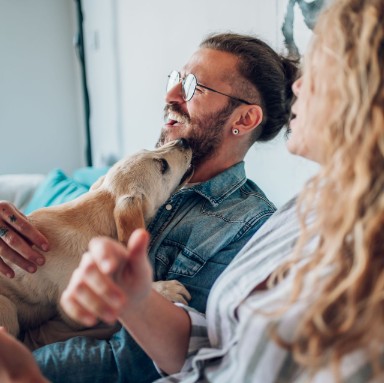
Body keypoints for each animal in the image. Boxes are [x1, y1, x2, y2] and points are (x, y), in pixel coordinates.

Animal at [0, 140, 192, 338]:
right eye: (163, 166)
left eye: (150, 148)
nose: (183, 141)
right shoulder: (74, 309)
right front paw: (164, 289)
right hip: (7, 309)